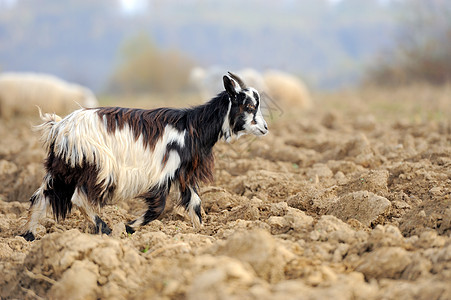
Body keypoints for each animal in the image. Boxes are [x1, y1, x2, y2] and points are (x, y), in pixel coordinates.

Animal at [21, 71, 268, 240]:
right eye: (248, 106)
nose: (265, 129)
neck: (192, 127)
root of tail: (59, 127)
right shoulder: (163, 172)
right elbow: (158, 208)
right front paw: (129, 227)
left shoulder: (183, 173)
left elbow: (195, 203)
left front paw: (202, 234)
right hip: (97, 166)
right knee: (79, 198)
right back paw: (106, 229)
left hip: (62, 168)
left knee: (41, 197)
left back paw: (28, 236)